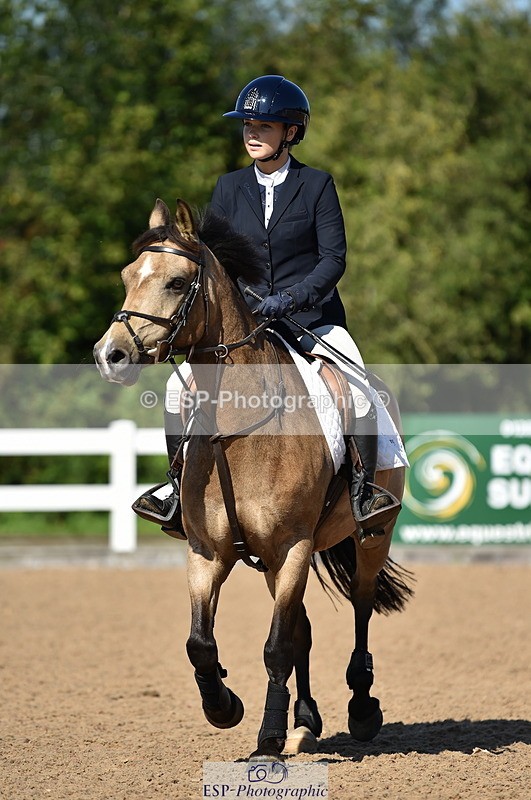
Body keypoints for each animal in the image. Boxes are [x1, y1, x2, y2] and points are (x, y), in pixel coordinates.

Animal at [93, 198, 413, 761]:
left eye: (177, 281)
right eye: (129, 276)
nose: (109, 356)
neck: (238, 432)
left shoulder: (292, 546)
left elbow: (276, 646)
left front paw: (265, 740)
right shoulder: (209, 552)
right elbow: (201, 643)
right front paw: (225, 706)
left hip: (370, 535)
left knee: (360, 606)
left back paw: (360, 708)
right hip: (273, 562)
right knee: (304, 627)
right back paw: (304, 722)